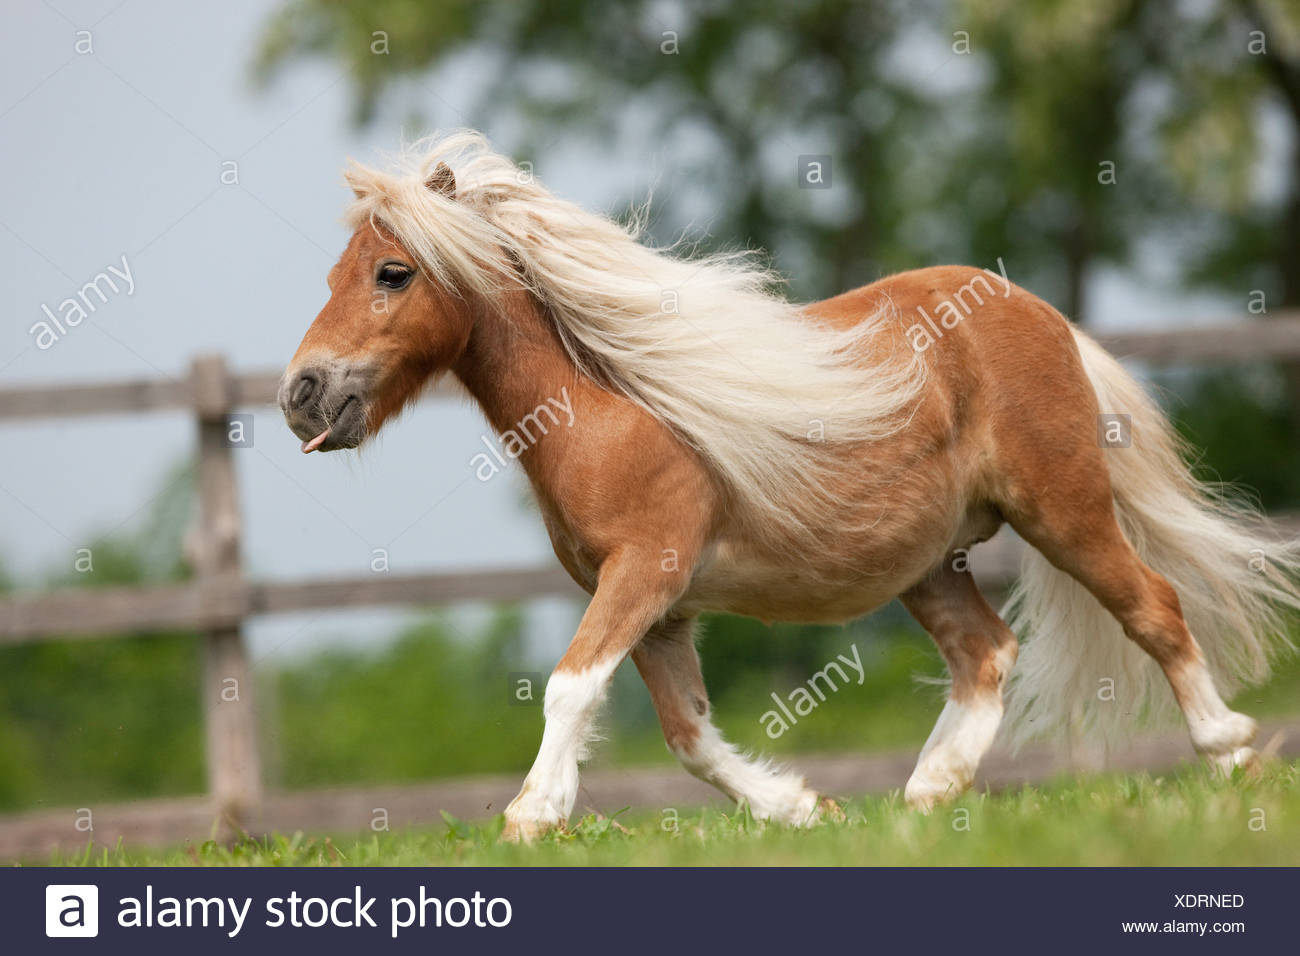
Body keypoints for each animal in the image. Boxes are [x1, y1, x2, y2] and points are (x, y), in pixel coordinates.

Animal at [279, 132, 1294, 837]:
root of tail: (1043, 315)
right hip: (930, 561)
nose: (300, 395)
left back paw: (1231, 756)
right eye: (331, 272)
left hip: (1065, 510)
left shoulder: (643, 572)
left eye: (393, 271)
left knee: (1154, 608)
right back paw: (920, 802)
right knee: (987, 654)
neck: (608, 406)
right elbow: (688, 737)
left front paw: (531, 816)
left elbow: (571, 688)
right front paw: (805, 809)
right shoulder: (663, 610)